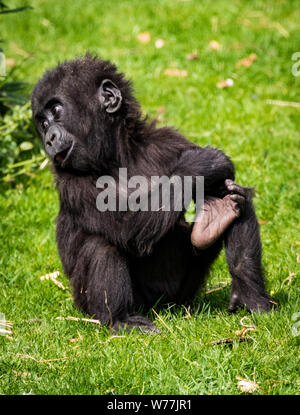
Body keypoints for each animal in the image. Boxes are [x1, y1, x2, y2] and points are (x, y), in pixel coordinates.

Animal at [31, 54, 274, 334]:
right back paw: (120, 319)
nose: (48, 138)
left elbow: (225, 188)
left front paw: (251, 297)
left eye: (56, 112)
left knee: (235, 204)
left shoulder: (170, 140)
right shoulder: (72, 181)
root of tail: (162, 308)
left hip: (182, 296)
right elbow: (126, 226)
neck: (116, 155)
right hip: (96, 305)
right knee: (102, 244)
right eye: (43, 123)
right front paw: (203, 164)